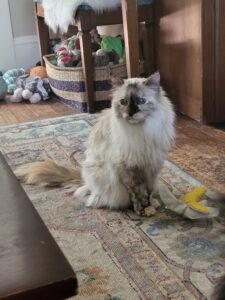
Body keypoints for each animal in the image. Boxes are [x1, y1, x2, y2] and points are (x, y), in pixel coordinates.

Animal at [16, 72, 177, 217]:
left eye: (141, 101)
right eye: (124, 102)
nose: (131, 113)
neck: (141, 131)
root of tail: (86, 182)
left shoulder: (151, 166)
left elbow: (147, 191)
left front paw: (149, 206)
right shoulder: (128, 168)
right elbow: (136, 193)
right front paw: (142, 210)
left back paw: (154, 203)